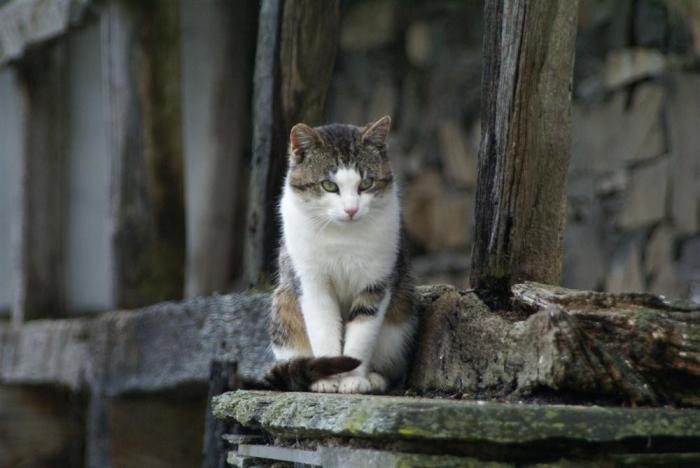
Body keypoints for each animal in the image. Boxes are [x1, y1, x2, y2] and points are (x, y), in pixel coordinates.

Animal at [262, 115, 416, 394]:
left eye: (366, 183)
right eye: (329, 185)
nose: (351, 209)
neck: (341, 235)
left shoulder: (376, 282)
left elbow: (362, 334)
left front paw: (353, 379)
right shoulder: (310, 283)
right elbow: (323, 328)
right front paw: (326, 380)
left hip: (401, 317)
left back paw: (375, 378)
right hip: (283, 308)